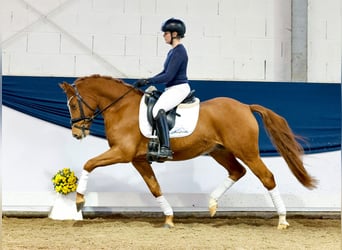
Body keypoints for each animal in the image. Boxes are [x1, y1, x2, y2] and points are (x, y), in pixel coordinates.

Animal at [60, 73, 316, 229]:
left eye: (72, 104)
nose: (77, 134)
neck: (121, 108)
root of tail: (245, 106)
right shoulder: (138, 160)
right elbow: (154, 188)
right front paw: (169, 218)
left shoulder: (122, 152)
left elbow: (89, 163)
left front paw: (79, 201)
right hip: (219, 151)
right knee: (237, 171)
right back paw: (212, 204)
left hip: (247, 151)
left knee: (266, 177)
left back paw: (282, 220)